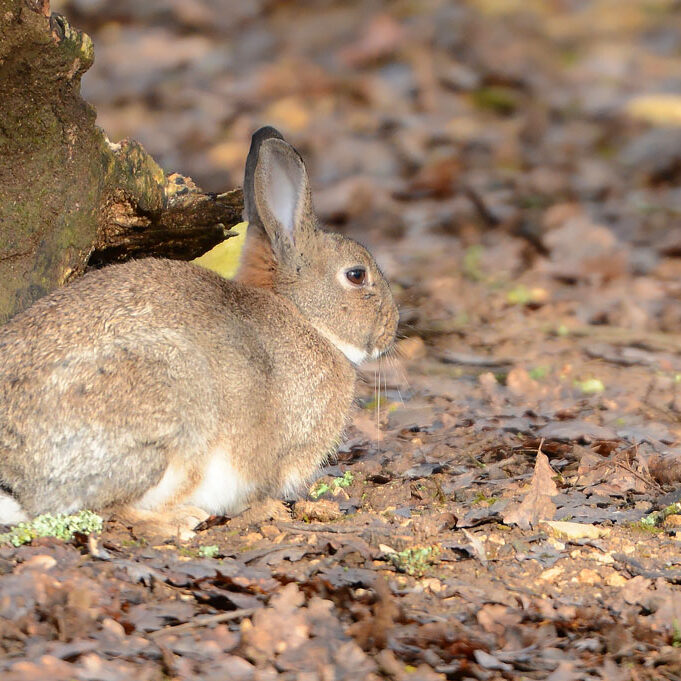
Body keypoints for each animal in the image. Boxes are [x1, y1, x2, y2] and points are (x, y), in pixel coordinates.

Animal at [0, 125, 398, 532]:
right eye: (356, 275)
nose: (391, 328)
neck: (303, 314)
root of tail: (17, 477)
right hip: (171, 407)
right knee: (105, 509)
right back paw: (178, 521)